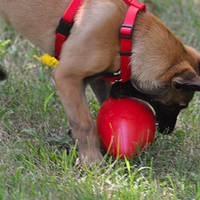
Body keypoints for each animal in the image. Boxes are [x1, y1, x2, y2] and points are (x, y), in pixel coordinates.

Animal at [0, 0, 200, 164]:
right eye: (178, 105)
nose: (167, 131)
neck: (127, 35)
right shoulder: (66, 76)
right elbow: (85, 123)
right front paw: (92, 160)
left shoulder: (95, 78)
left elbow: (101, 104)